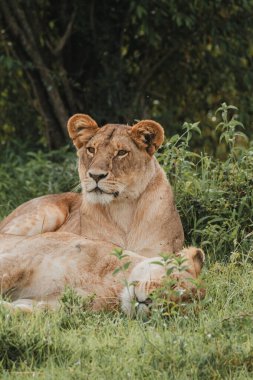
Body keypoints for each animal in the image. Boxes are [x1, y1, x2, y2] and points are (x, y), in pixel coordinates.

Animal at [0, 233, 204, 316]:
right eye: (173, 281)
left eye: (173, 309)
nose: (150, 302)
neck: (112, 285)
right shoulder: (19, 259)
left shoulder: (57, 305)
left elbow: (25, 311)